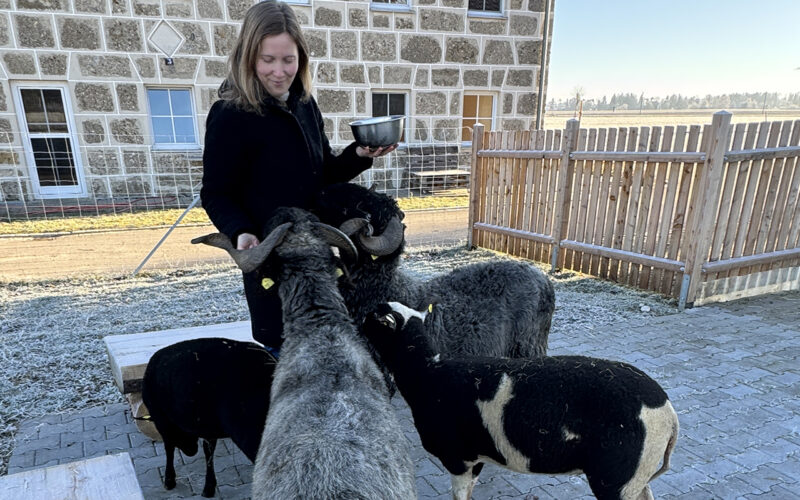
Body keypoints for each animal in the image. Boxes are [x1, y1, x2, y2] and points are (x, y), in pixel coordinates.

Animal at [141, 337, 276, 498]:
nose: (191, 451)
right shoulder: (207, 426)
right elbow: (208, 452)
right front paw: (209, 487)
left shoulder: (162, 419)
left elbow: (169, 448)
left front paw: (169, 480)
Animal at [362, 301, 680, 500]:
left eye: (374, 318)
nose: (359, 318)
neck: (426, 371)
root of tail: (668, 414)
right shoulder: (477, 457)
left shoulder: (458, 457)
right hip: (634, 479)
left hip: (616, 478)